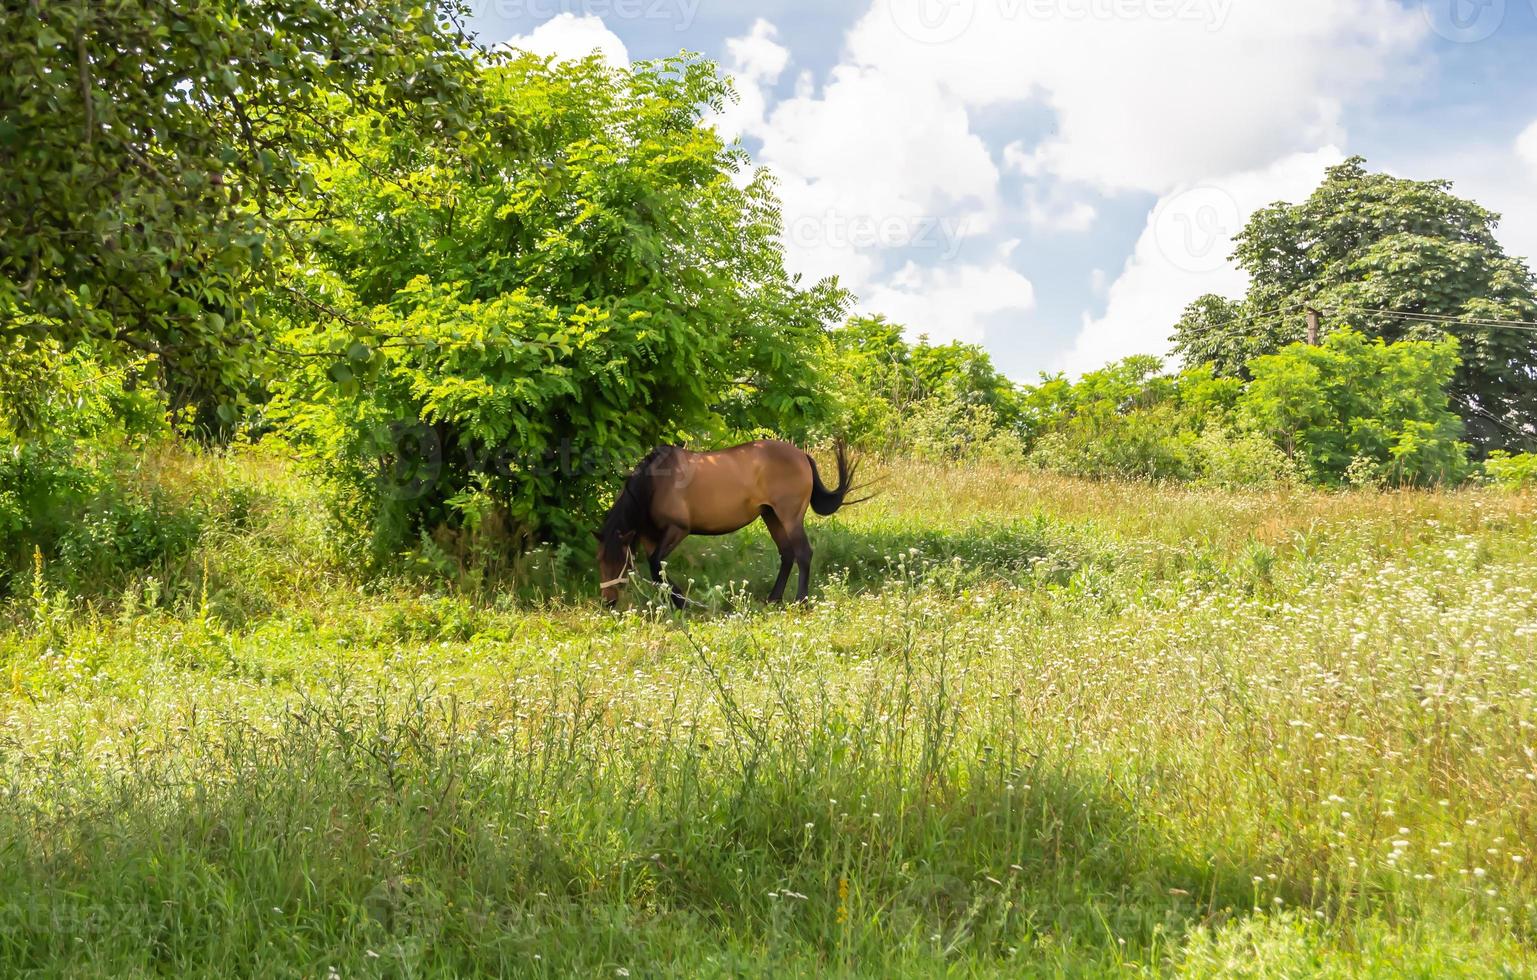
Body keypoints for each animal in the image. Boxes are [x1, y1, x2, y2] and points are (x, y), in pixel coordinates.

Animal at [593, 439, 860, 608]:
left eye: (619, 562)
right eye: (600, 560)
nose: (608, 601)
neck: (656, 484)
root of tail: (802, 455)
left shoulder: (677, 530)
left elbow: (656, 565)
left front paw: (681, 601)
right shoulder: (649, 537)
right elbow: (657, 569)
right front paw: (672, 602)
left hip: (789, 517)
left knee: (803, 553)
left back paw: (800, 602)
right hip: (771, 516)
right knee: (787, 554)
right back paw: (773, 599)